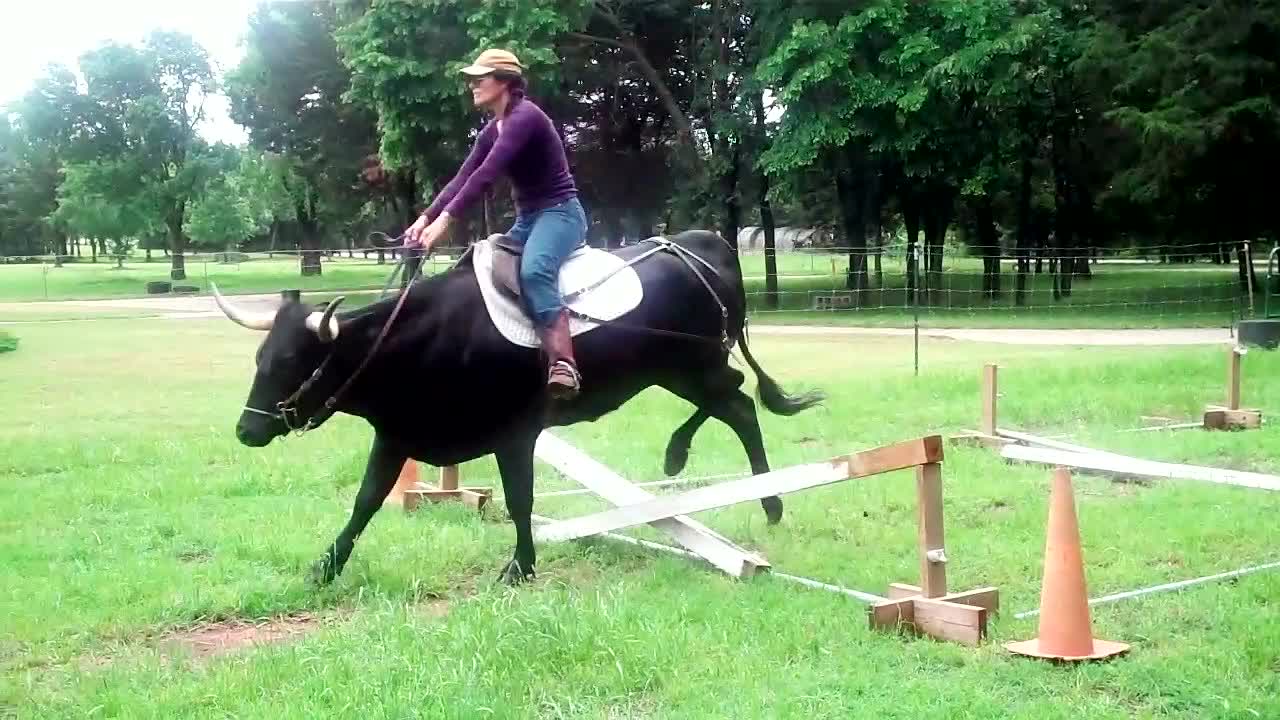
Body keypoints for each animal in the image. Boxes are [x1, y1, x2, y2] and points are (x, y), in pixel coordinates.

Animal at [212, 229, 819, 584]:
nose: (246, 429)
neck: (427, 338)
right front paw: (327, 565)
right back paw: (745, 490)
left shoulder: (515, 433)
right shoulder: (396, 434)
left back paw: (720, 475)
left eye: (294, 361)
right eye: (260, 359)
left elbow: (520, 501)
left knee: (739, 403)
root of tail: (703, 245)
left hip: (694, 367)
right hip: (679, 372)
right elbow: (365, 502)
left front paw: (520, 567)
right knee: (738, 405)